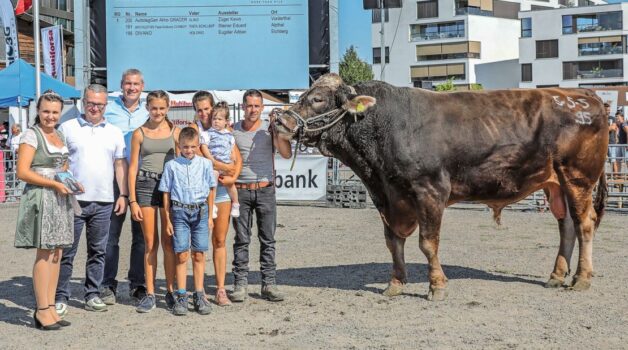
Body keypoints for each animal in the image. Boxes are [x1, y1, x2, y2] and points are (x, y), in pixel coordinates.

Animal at [272, 74, 604, 300]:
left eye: (317, 99)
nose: (280, 121)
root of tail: (583, 94)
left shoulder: (430, 191)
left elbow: (427, 243)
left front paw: (437, 285)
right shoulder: (388, 196)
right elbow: (394, 242)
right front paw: (395, 284)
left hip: (578, 177)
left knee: (584, 224)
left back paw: (582, 278)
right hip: (555, 184)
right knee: (566, 225)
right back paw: (557, 275)